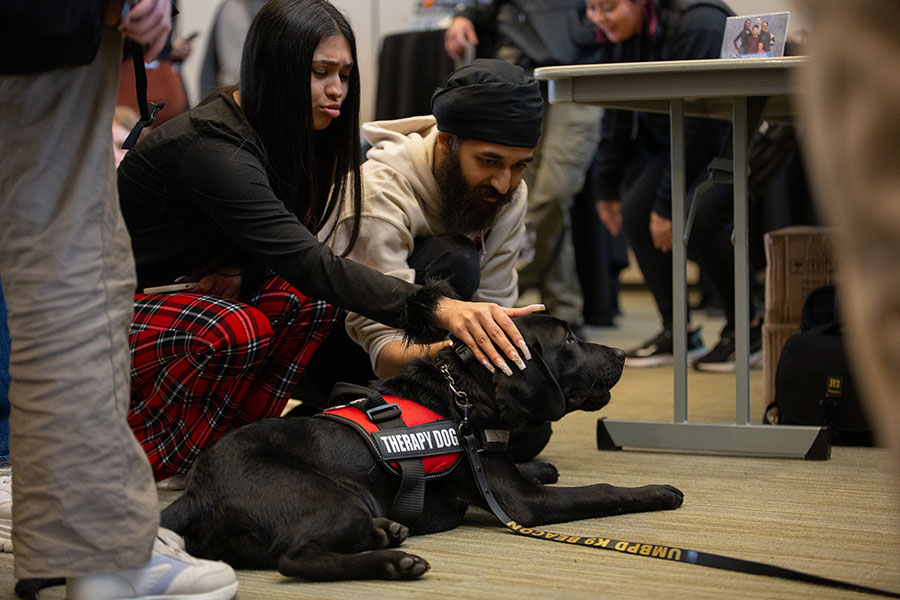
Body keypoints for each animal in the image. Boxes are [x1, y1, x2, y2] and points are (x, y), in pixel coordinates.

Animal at [160, 314, 684, 580]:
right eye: (570, 340)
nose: (621, 353)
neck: (467, 393)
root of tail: (196, 494)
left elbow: (525, 463)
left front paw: (545, 465)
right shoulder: (521, 503)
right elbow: (601, 489)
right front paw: (659, 491)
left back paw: (386, 534)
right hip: (331, 495)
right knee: (296, 558)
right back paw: (395, 560)